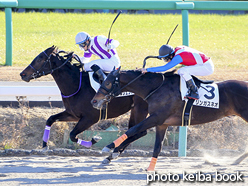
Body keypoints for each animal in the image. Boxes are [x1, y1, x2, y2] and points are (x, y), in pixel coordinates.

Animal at [19, 45, 147, 162]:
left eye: (39, 59)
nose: (22, 74)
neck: (77, 85)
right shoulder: (73, 114)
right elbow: (50, 119)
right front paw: (45, 145)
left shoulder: (90, 118)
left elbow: (72, 135)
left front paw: (94, 139)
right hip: (134, 110)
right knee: (134, 131)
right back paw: (113, 154)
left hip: (140, 109)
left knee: (140, 131)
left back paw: (113, 152)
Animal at [91, 67, 248, 171]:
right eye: (102, 81)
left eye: (107, 83)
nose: (94, 101)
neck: (156, 89)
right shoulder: (162, 123)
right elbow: (157, 147)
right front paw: (150, 169)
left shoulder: (157, 117)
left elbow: (134, 129)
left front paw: (109, 147)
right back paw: (236, 160)